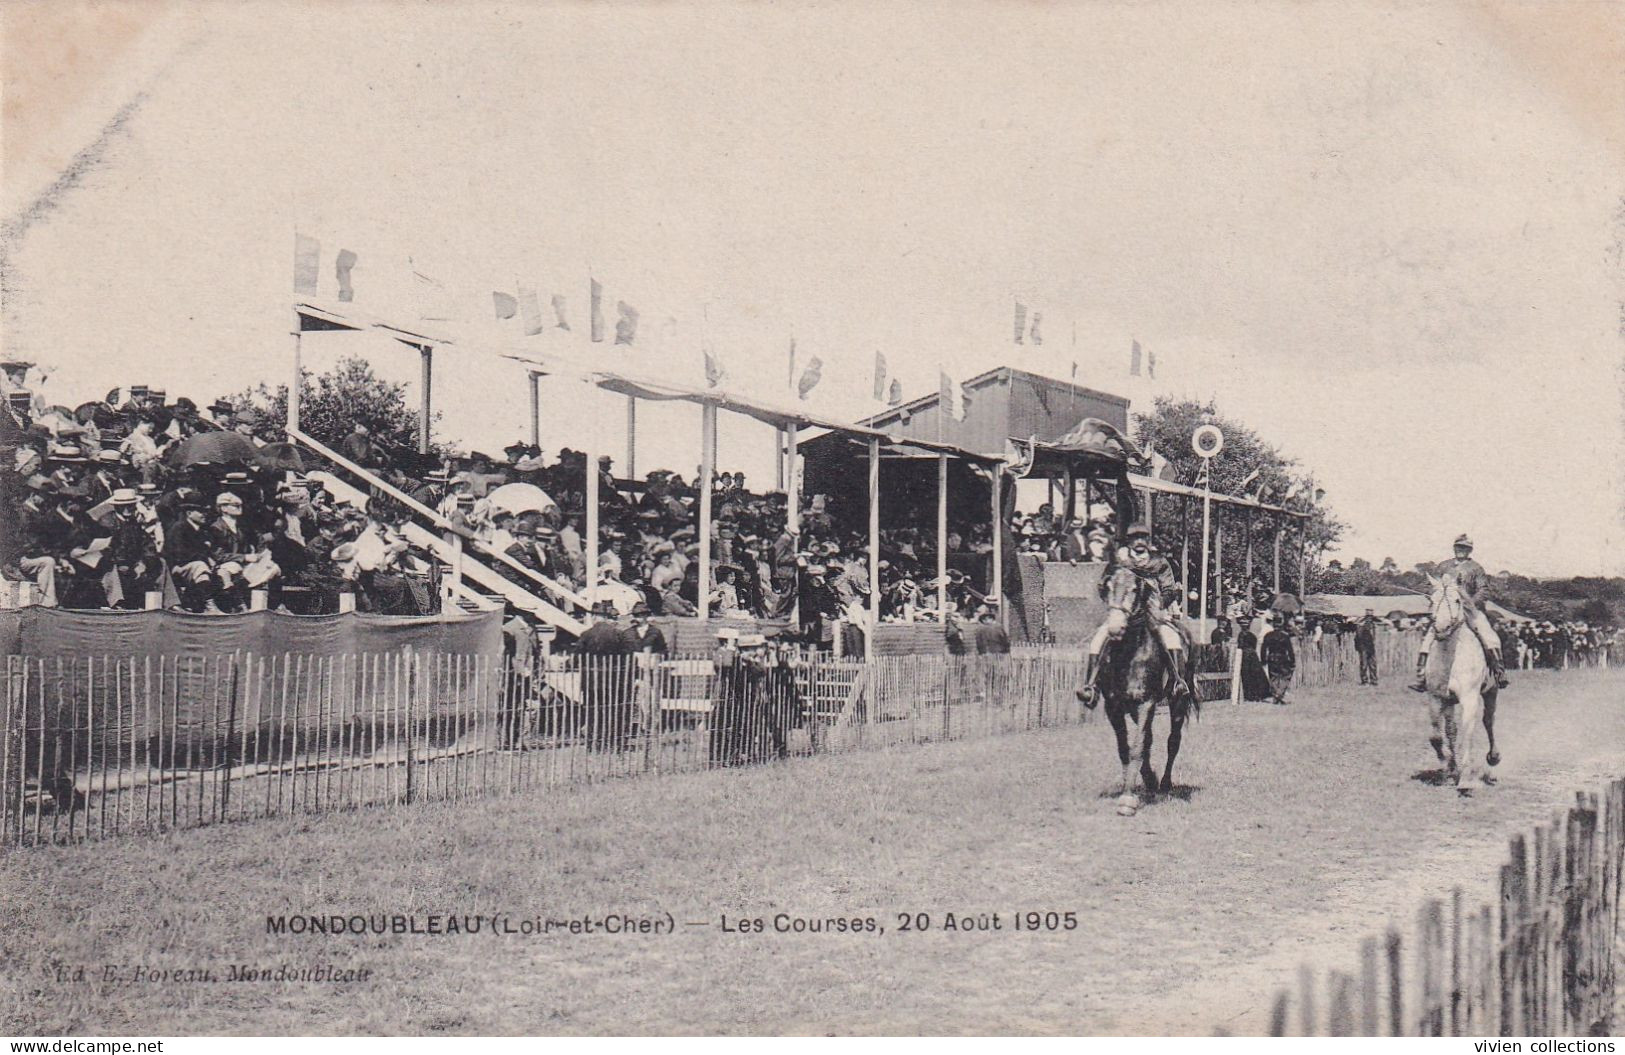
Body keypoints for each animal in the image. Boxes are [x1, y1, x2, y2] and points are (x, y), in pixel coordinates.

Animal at [1092, 562, 1196, 809]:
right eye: (1108, 587)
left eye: (1134, 589)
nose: (1115, 628)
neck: (1128, 653)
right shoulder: (1114, 706)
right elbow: (1126, 748)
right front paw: (1134, 785)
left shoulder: (1146, 702)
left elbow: (1138, 747)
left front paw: (1128, 800)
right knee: (1148, 738)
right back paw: (1150, 780)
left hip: (1178, 701)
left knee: (1173, 740)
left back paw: (1165, 784)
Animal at [1430, 572, 1501, 793]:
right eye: (1431, 600)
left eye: (1457, 600)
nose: (1441, 628)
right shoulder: (1437, 698)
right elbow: (1438, 736)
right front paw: (1447, 768)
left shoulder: (1470, 700)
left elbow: (1467, 735)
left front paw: (1465, 779)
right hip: (1449, 702)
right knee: (1451, 730)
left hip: (1491, 692)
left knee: (1488, 721)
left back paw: (1493, 759)